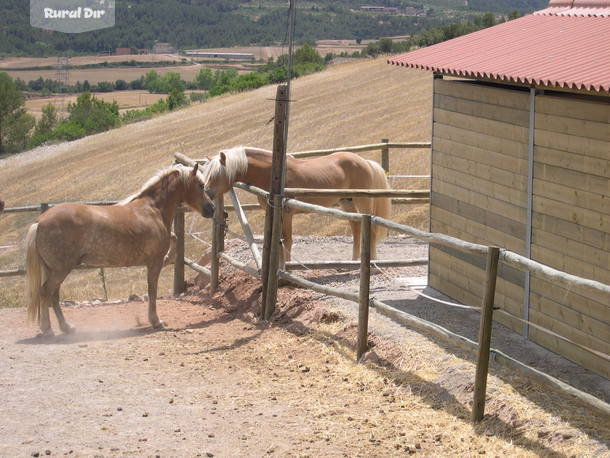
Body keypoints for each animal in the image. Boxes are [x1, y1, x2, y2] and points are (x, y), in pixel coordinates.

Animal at [25, 165, 215, 336]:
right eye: (200, 185)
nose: (211, 208)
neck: (153, 209)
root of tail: (39, 222)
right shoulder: (154, 263)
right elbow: (152, 289)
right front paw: (156, 321)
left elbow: (174, 239)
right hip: (60, 270)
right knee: (45, 292)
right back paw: (47, 329)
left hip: (55, 270)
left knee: (53, 295)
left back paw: (67, 327)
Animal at [200, 146, 390, 262]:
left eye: (217, 173)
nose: (207, 194)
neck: (273, 174)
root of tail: (365, 162)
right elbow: (278, 241)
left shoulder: (287, 213)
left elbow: (288, 241)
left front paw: (287, 270)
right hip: (346, 202)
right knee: (356, 227)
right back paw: (353, 261)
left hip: (363, 200)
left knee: (371, 229)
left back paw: (373, 262)